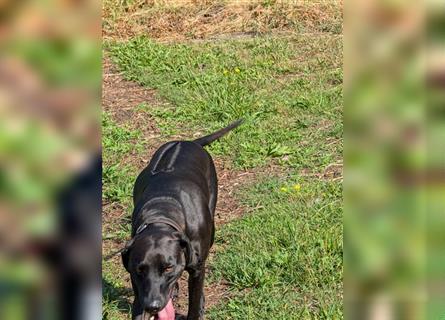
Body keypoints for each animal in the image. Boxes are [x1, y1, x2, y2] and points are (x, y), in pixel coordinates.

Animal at [119, 120, 241, 320]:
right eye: (140, 270)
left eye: (168, 268)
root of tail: (187, 142)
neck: (161, 215)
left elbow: (194, 301)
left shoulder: (197, 268)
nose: (153, 306)